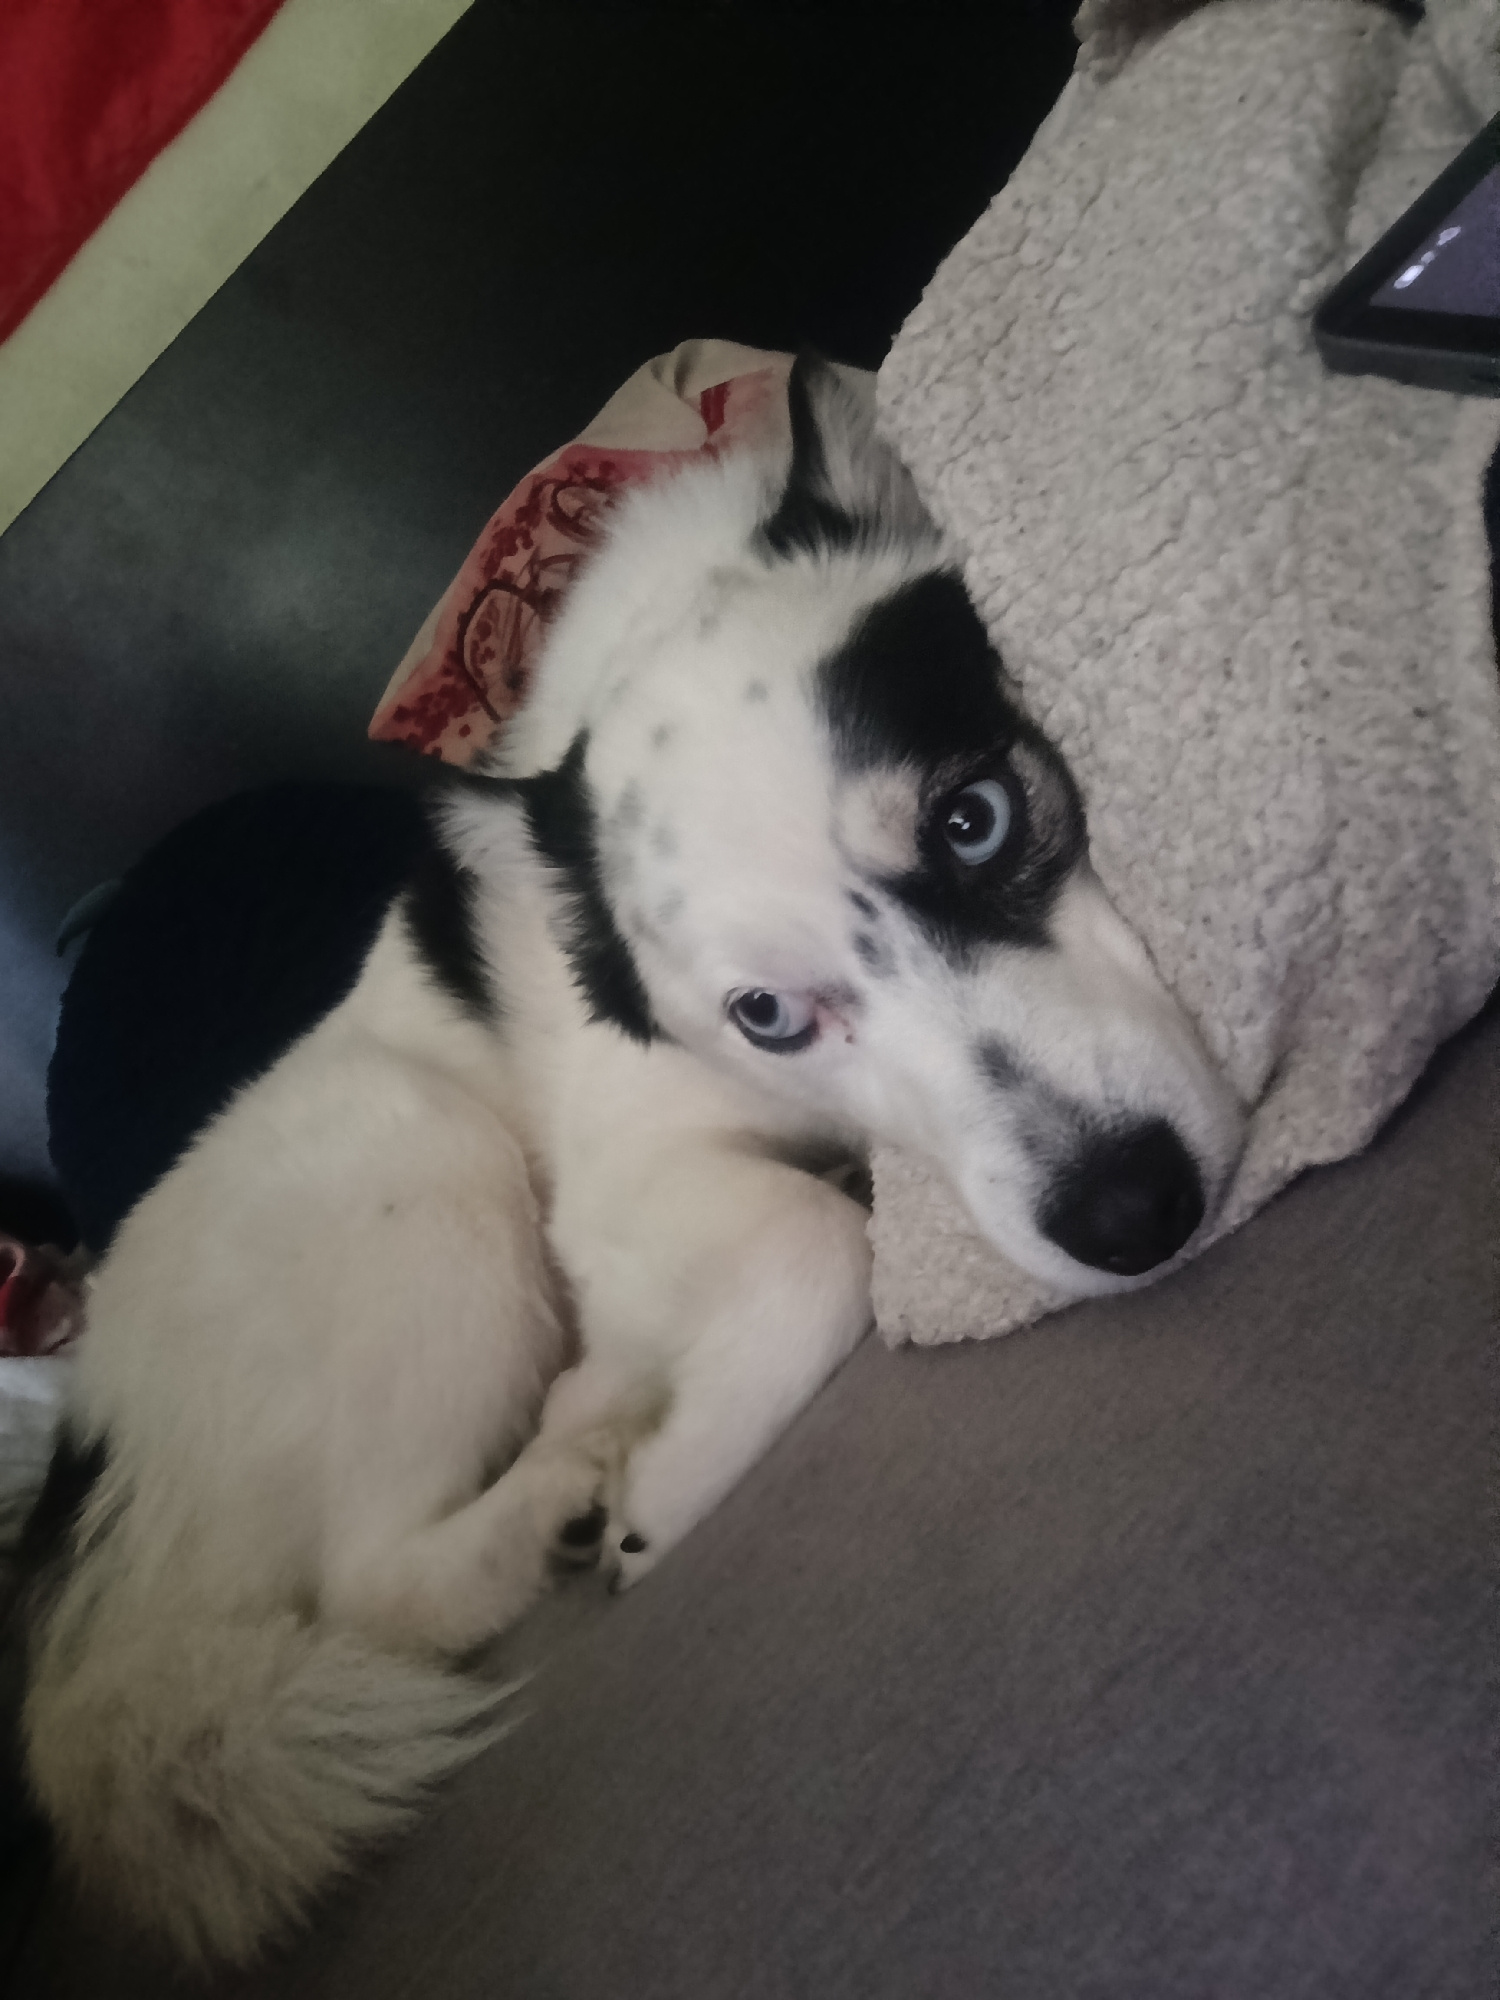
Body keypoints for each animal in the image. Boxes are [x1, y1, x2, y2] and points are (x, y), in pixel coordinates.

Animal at [16, 355, 1244, 1967]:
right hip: (420, 1160)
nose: (1130, 1209)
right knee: (376, 1582)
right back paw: (561, 1492)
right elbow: (814, 1243)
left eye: (975, 818)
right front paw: (687, 1465)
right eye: (767, 1013)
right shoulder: (619, 1175)